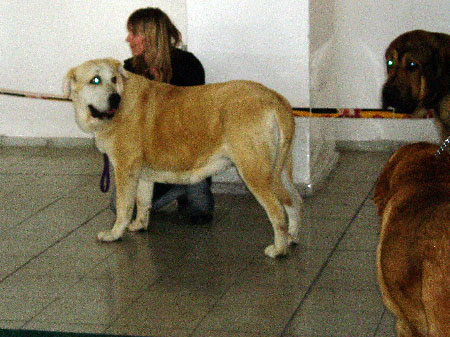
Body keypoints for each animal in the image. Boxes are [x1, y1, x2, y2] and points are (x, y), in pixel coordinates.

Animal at [63, 57, 302, 258]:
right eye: (95, 80)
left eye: (113, 79)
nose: (114, 98)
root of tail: (274, 98)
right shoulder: (143, 175)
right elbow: (142, 202)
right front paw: (139, 225)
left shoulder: (124, 169)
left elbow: (124, 207)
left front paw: (114, 233)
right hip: (282, 171)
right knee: (295, 202)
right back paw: (292, 238)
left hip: (254, 172)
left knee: (277, 211)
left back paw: (279, 249)